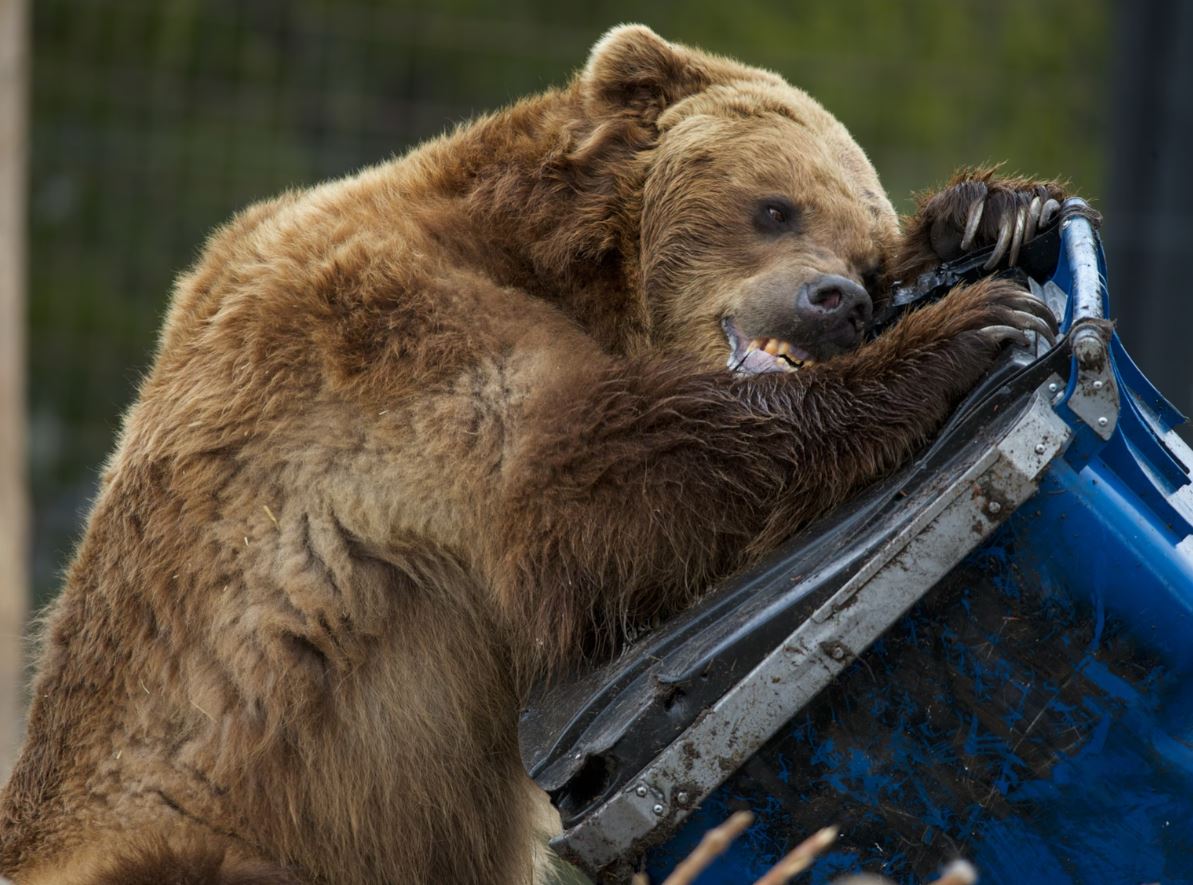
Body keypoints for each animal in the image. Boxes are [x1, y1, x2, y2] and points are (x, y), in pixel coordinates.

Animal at [0, 24, 1064, 885]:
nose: (836, 299)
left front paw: (992, 211)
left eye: (869, 255)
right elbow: (590, 496)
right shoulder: (390, 343)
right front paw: (970, 323)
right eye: (774, 206)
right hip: (204, 819)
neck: (552, 258)